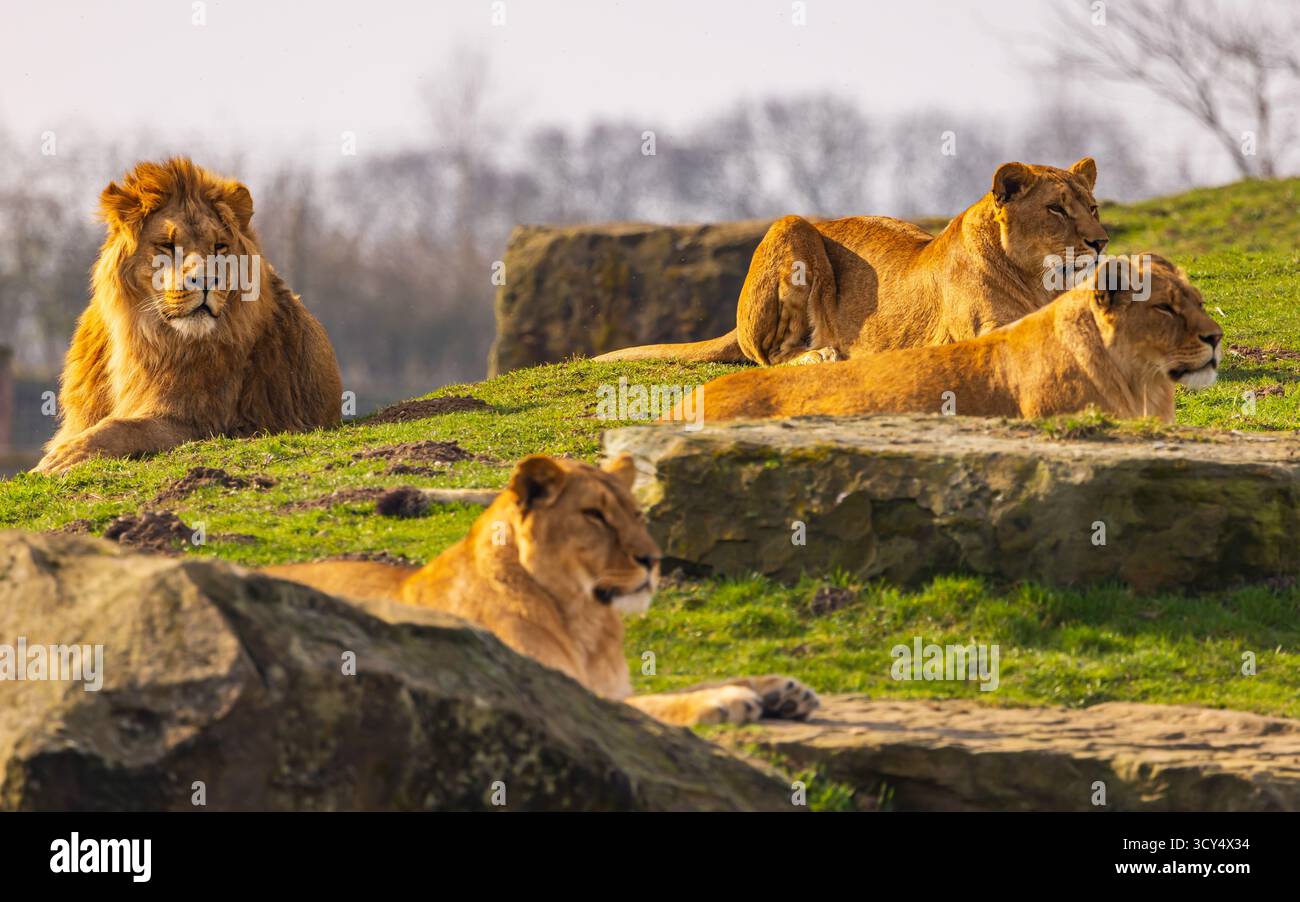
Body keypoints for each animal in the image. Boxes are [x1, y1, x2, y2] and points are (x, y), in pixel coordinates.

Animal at [34, 158, 342, 474]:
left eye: (219, 247)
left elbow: (125, 427)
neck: (139, 334)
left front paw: (63, 457)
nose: (206, 280)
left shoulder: (200, 421)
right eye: (167, 246)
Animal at [262, 454, 820, 727]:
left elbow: (671, 689)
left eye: (637, 513)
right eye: (595, 516)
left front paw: (780, 689)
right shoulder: (555, 692)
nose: (653, 561)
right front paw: (726, 701)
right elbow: (652, 706)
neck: (587, 623)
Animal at [594, 157, 1108, 366]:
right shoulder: (980, 333)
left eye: (1093, 207)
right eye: (1056, 209)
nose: (1101, 242)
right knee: (769, 355)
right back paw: (822, 354)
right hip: (792, 226)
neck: (1039, 281)